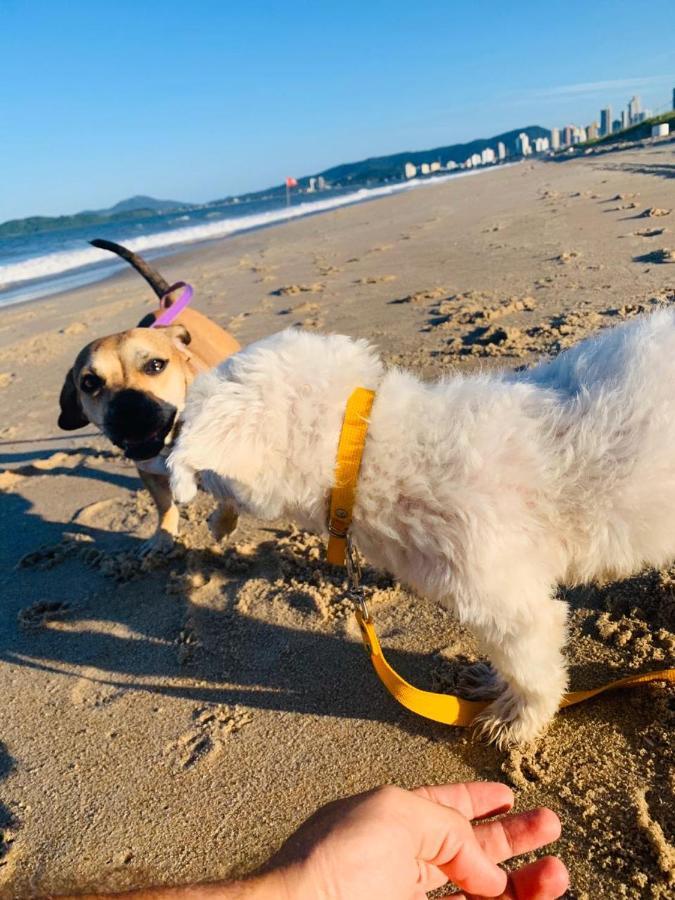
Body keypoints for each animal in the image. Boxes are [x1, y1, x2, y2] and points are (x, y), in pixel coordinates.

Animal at [58, 237, 242, 548]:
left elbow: (229, 500)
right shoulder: (148, 472)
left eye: (156, 365)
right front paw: (163, 536)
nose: (130, 407)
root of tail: (167, 306)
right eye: (89, 383)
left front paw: (221, 526)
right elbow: (164, 504)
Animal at [168, 310, 675, 744]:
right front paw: (495, 685)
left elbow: (530, 668)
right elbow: (507, 661)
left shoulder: (509, 605)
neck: (365, 451)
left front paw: (519, 718)